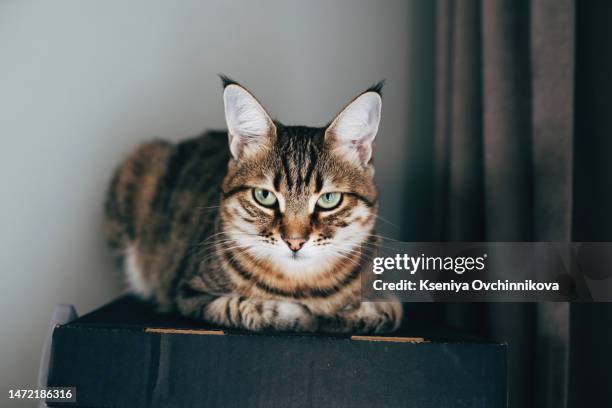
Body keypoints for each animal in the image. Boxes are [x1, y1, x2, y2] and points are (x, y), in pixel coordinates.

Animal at [105, 77, 402, 334]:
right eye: (264, 196)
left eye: (329, 200)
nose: (294, 242)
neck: (300, 284)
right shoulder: (189, 292)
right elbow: (241, 307)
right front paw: (299, 315)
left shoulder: (388, 299)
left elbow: (387, 312)